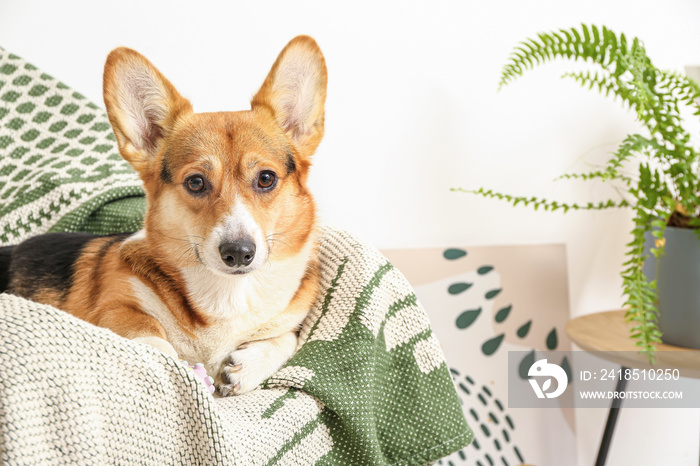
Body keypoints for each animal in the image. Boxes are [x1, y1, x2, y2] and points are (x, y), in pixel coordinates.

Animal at [0, 34, 326, 396]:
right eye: (196, 182)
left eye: (266, 178)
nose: (239, 252)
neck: (226, 295)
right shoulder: (117, 306)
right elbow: (152, 335)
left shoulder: (290, 319)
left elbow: (288, 339)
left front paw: (248, 365)